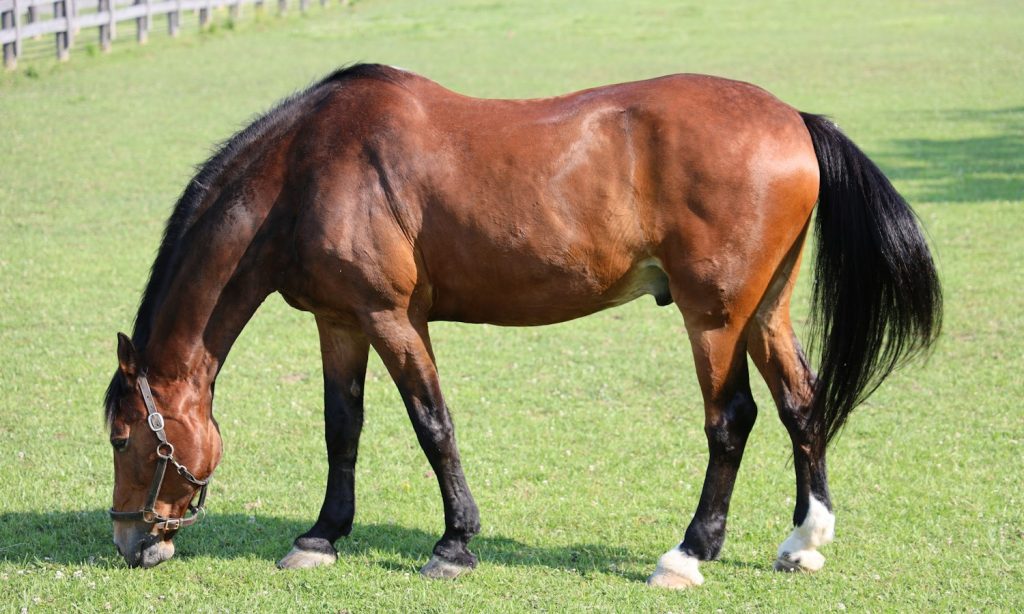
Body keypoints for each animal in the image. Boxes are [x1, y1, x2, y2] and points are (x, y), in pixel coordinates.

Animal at [104, 64, 941, 586]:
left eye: (123, 437)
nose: (130, 541)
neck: (309, 167)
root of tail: (792, 119)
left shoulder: (392, 317)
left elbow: (431, 423)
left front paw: (454, 543)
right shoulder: (340, 321)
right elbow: (343, 427)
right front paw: (321, 535)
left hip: (715, 317)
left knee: (732, 418)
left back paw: (688, 553)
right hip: (765, 310)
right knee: (803, 404)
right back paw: (805, 540)